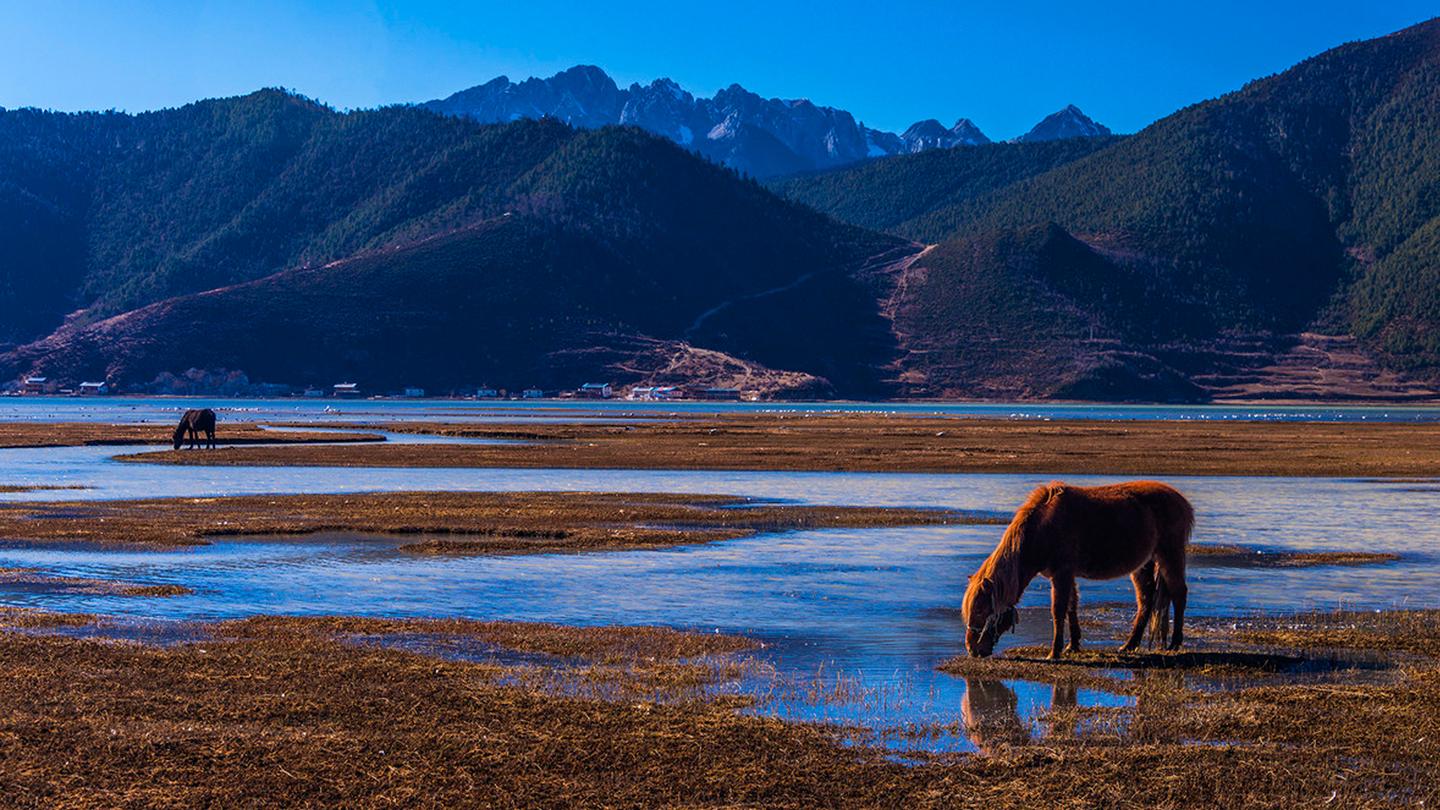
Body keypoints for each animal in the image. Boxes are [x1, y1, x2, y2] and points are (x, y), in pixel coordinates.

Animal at [967, 478, 1192, 657]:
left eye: (979, 609)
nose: (973, 650)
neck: (1041, 530)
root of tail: (1181, 501)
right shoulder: (1066, 575)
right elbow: (1071, 606)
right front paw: (1072, 646)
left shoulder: (1062, 574)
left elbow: (1058, 610)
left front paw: (1054, 652)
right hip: (1144, 565)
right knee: (1146, 600)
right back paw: (1129, 645)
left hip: (1169, 555)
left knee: (1179, 593)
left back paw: (1174, 643)